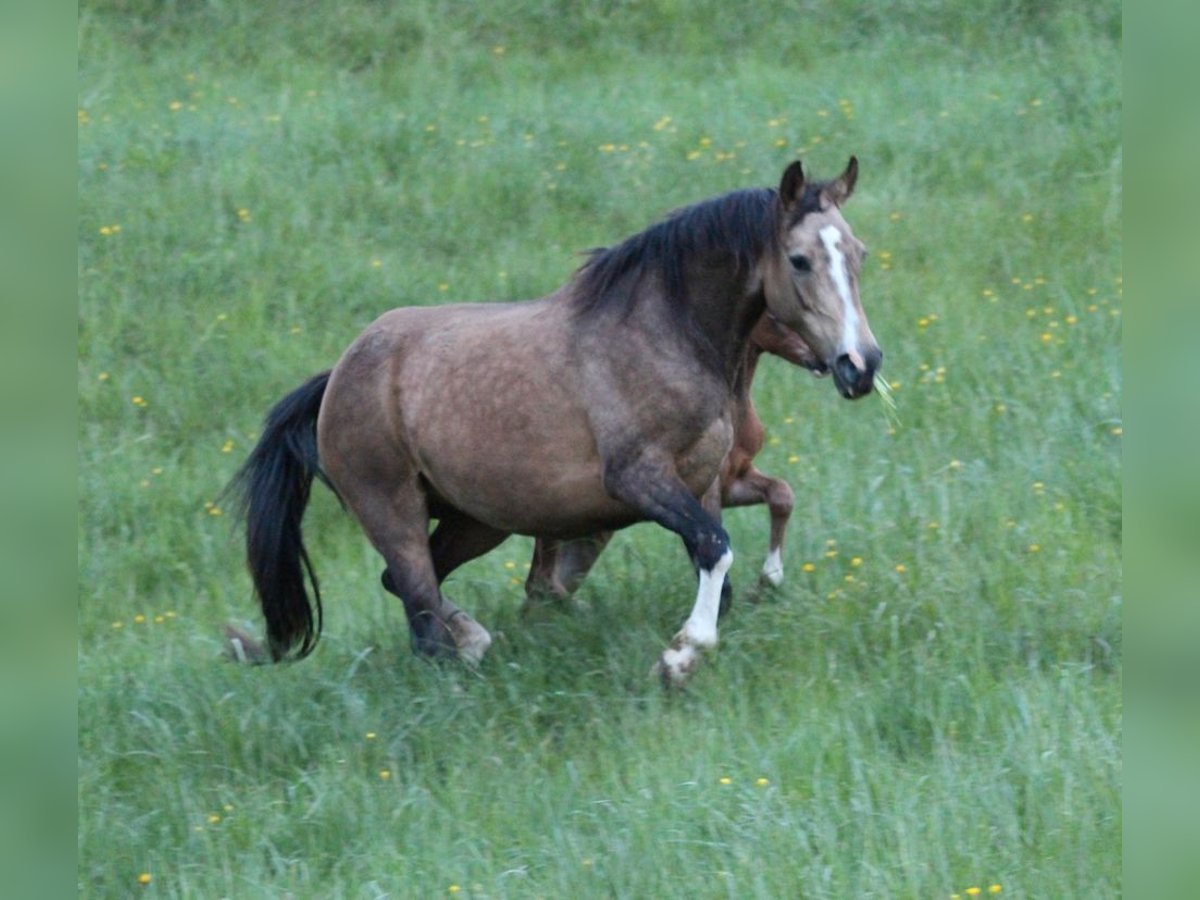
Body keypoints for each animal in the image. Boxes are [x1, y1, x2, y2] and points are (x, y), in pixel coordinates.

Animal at [525, 314, 825, 609]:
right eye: (777, 315)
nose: (823, 360)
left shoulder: (733, 481)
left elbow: (782, 494)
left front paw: (767, 581)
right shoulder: (705, 487)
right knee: (540, 581)